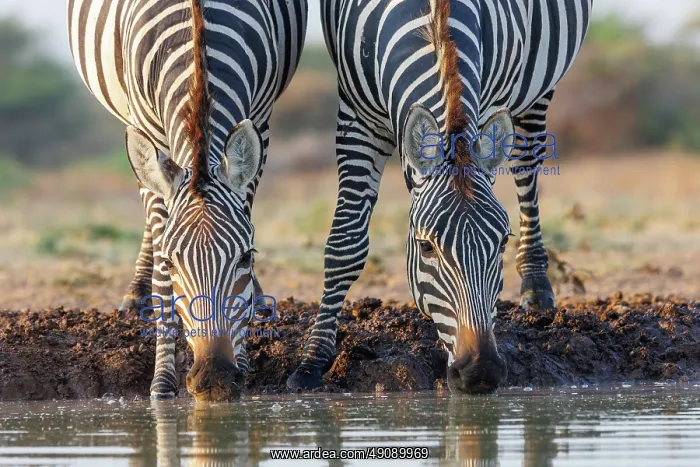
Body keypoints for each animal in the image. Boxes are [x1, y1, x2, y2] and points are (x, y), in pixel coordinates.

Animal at [68, 0, 307, 400]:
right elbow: (163, 269)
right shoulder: (146, 127)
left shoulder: (261, 117)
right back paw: (135, 294)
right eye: (170, 262)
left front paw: (244, 359)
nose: (214, 379)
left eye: (247, 256)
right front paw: (162, 382)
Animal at [288, 0, 591, 394]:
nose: (480, 371)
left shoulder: (494, 95)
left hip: (539, 86)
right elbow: (345, 245)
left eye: (501, 243)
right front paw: (311, 362)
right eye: (426, 247)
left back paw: (536, 287)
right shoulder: (356, 117)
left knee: (527, 161)